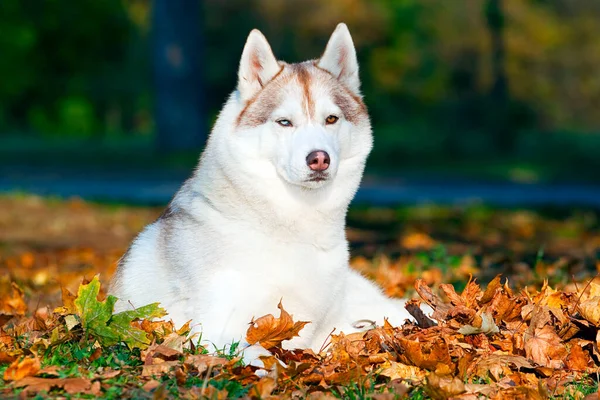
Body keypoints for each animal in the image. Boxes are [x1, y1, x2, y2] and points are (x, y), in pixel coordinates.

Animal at [110, 22, 412, 362]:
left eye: (331, 119)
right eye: (284, 122)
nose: (319, 158)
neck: (292, 229)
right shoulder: (212, 332)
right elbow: (258, 350)